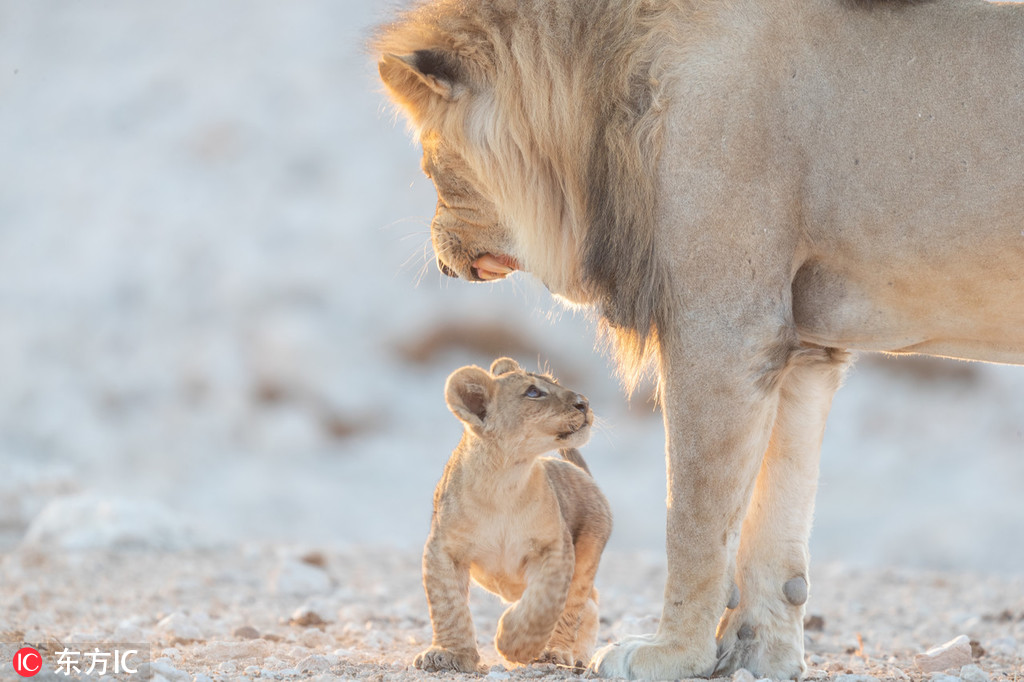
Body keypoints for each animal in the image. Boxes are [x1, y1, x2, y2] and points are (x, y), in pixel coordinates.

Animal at [376, 1, 1024, 675]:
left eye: (429, 162)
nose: (442, 259)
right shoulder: (803, 347)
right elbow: (775, 524)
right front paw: (758, 654)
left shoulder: (724, 327)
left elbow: (693, 518)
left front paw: (671, 652)